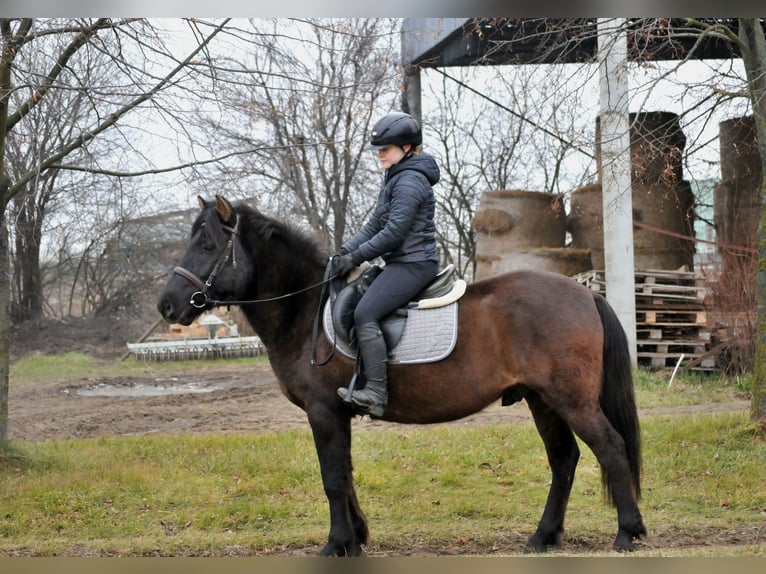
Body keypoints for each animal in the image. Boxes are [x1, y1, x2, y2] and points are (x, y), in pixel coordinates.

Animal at [156, 196, 648, 556]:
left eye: (207, 246)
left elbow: (332, 478)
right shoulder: (336, 414)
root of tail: (585, 294)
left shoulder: (323, 411)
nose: (167, 305)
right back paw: (543, 536)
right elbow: (345, 474)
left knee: (610, 447)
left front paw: (336, 544)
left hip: (571, 399)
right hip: (541, 400)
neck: (305, 310)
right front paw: (356, 538)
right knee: (564, 459)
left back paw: (628, 532)